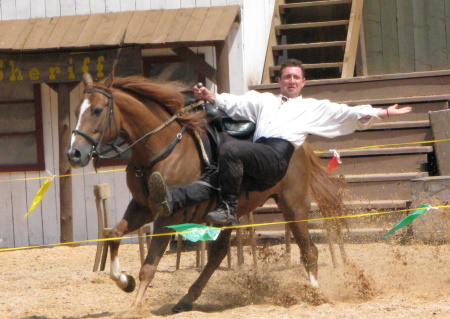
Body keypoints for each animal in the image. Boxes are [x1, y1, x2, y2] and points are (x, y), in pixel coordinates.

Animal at [66, 72, 344, 312]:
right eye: (76, 111)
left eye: (97, 110)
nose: (74, 153)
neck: (163, 148)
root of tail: (300, 146)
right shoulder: (142, 207)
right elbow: (113, 235)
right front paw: (125, 281)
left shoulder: (167, 217)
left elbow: (149, 265)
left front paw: (135, 306)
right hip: (231, 213)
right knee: (217, 255)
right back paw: (187, 299)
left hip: (292, 205)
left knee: (309, 251)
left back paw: (314, 293)